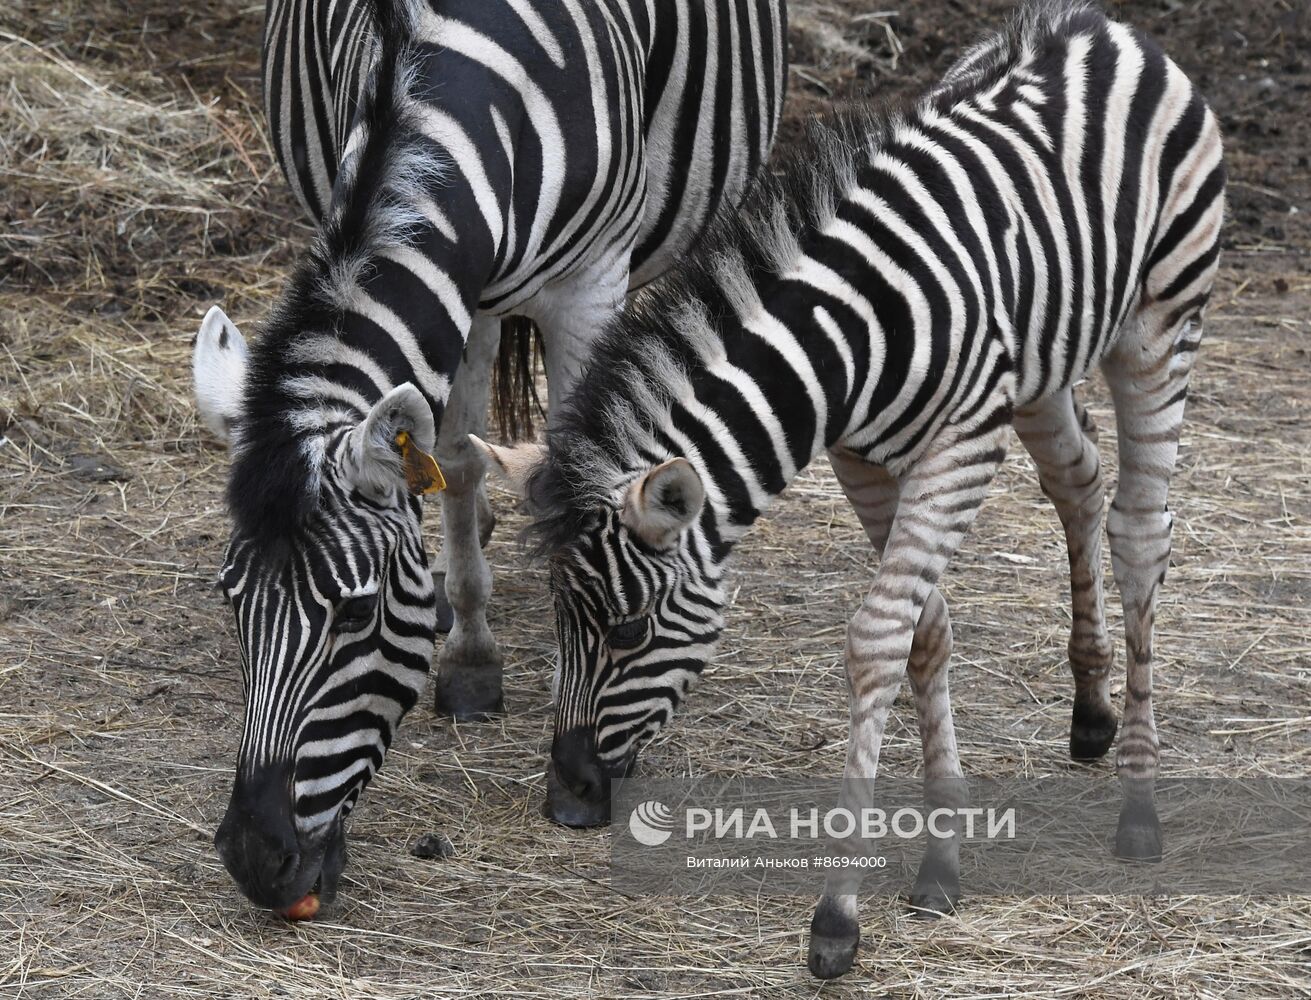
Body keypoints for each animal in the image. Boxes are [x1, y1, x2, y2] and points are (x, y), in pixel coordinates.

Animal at [485, 1, 1227, 980]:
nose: (565, 803)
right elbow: (926, 634)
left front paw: (837, 914)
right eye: (560, 622)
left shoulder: (958, 447)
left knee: (1140, 532)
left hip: (1157, 327)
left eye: (629, 630)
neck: (850, 341)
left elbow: (878, 639)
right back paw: (1091, 714)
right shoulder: (864, 461)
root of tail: (1100, 27)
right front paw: (943, 859)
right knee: (1079, 481)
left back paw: (1138, 809)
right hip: (1042, 362)